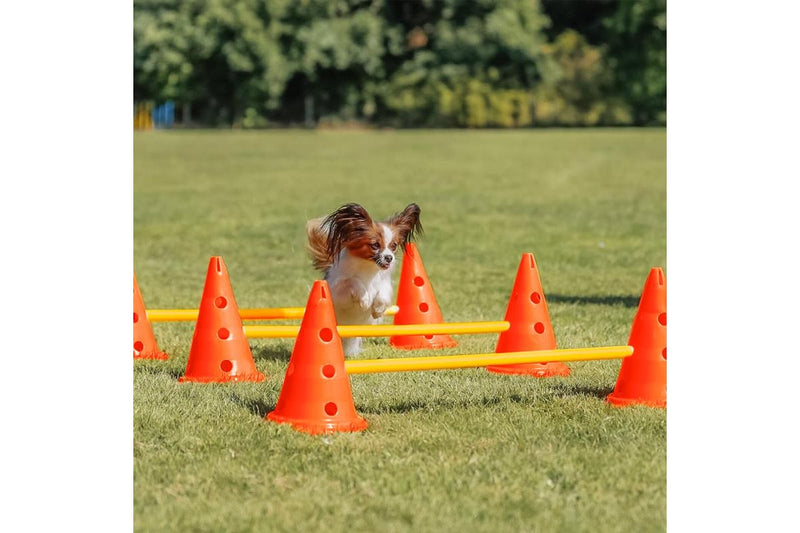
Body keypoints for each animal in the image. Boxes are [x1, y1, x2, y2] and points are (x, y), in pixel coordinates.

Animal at [304, 202, 422, 356]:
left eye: (393, 246)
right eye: (375, 245)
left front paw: (377, 309)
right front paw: (365, 300)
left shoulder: (384, 283)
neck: (368, 267)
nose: (389, 258)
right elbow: (354, 281)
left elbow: (383, 294)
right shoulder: (339, 294)